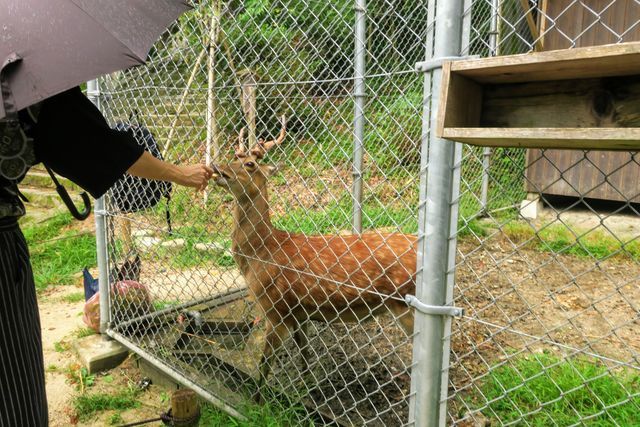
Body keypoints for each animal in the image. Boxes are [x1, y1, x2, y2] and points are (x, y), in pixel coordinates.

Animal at [210, 116, 418, 398]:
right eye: (234, 156)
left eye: (250, 164)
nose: (217, 168)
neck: (260, 254)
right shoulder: (299, 311)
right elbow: (305, 351)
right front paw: (306, 385)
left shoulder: (276, 307)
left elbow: (265, 362)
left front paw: (257, 397)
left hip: (406, 303)